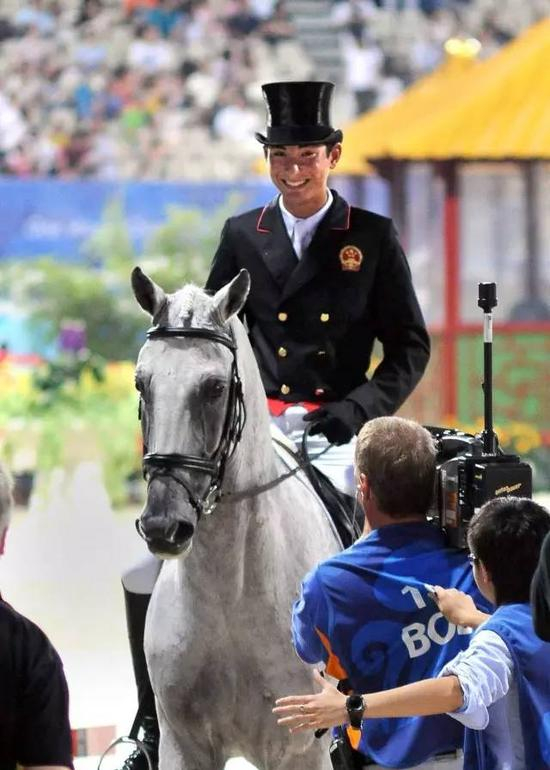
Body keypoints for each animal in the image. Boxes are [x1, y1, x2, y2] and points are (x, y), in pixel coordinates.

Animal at [131, 266, 342, 770]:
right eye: (141, 384)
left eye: (214, 388)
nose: (163, 526)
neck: (230, 593)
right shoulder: (183, 747)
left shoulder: (298, 751)